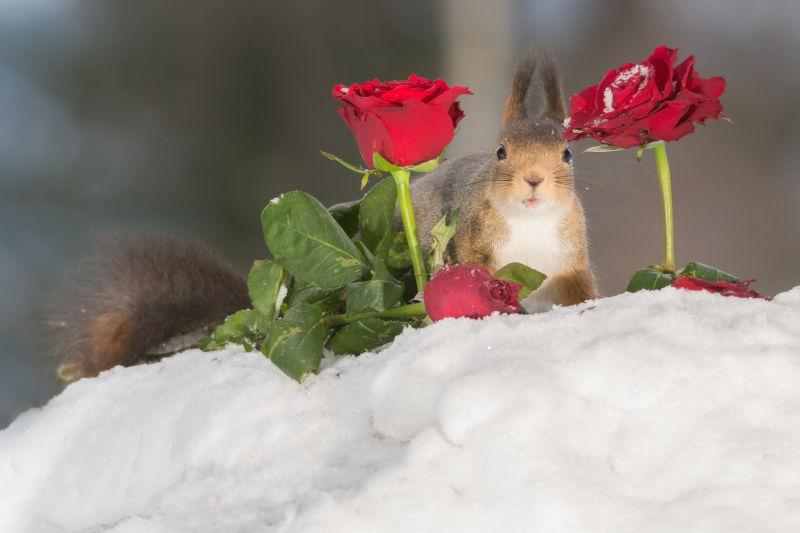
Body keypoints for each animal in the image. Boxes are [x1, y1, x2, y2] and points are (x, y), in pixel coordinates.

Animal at [410, 50, 596, 312]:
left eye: (567, 154)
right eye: (500, 152)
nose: (534, 178)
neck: (530, 220)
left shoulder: (572, 262)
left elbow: (581, 291)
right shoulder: (475, 244)